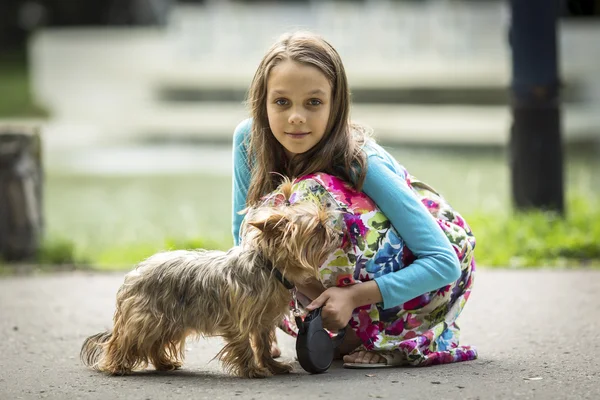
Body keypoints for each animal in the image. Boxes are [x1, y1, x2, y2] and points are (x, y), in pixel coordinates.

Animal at [79, 191, 342, 378]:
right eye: (319, 227)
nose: (339, 234)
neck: (268, 267)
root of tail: (133, 275)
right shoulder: (240, 319)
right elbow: (245, 345)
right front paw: (252, 370)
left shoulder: (262, 321)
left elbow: (263, 345)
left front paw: (272, 366)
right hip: (147, 319)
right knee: (123, 341)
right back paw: (116, 365)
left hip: (169, 321)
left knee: (155, 344)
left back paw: (163, 362)